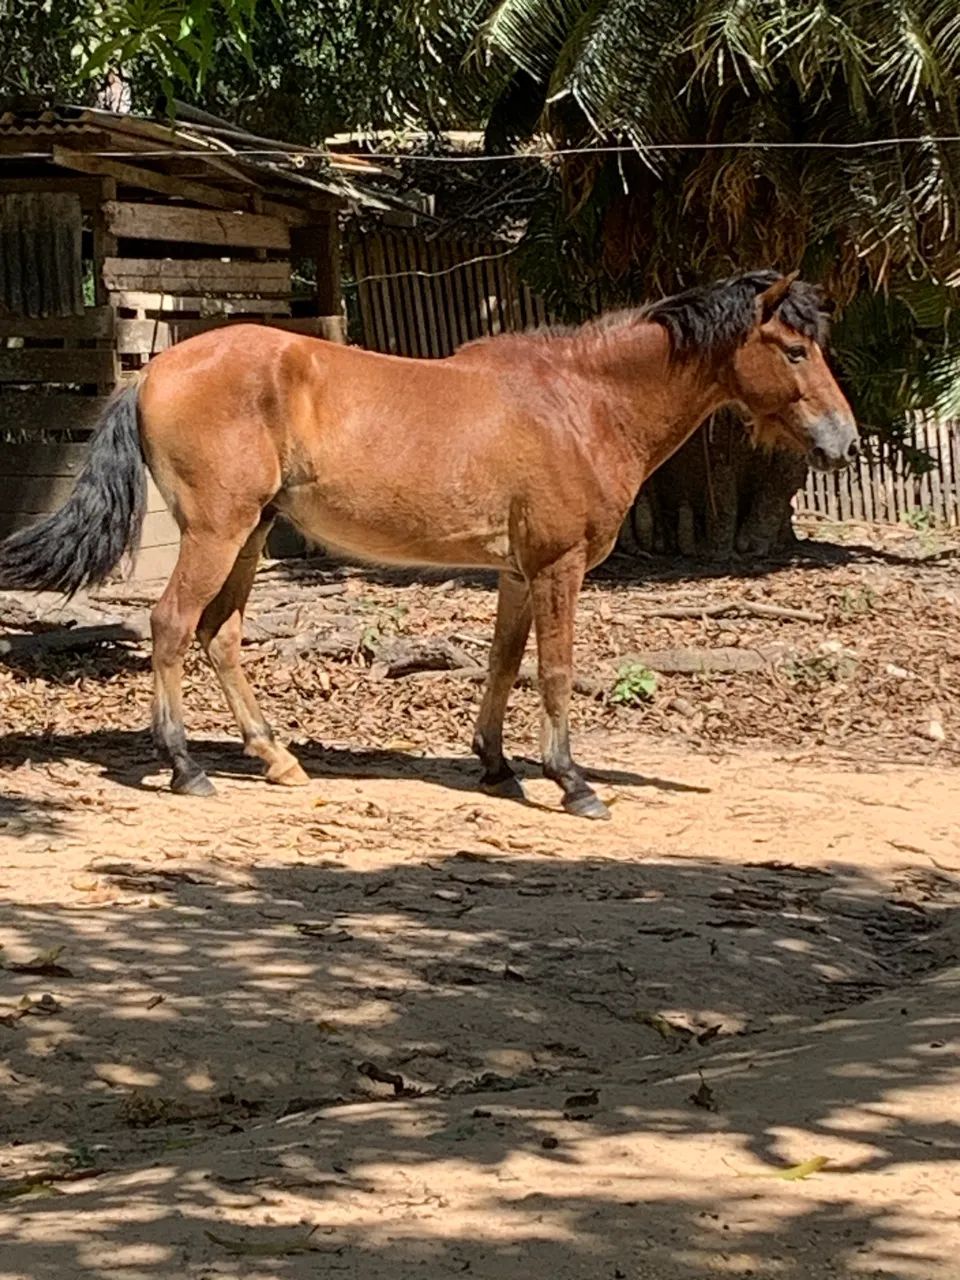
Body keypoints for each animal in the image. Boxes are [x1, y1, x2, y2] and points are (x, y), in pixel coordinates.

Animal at [0, 269, 859, 820]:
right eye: (793, 351)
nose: (843, 441)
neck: (580, 403)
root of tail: (155, 372)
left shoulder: (518, 573)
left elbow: (505, 663)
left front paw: (498, 766)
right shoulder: (558, 568)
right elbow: (555, 671)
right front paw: (573, 783)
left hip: (250, 536)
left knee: (221, 637)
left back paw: (276, 759)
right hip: (219, 530)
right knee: (174, 627)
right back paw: (185, 768)